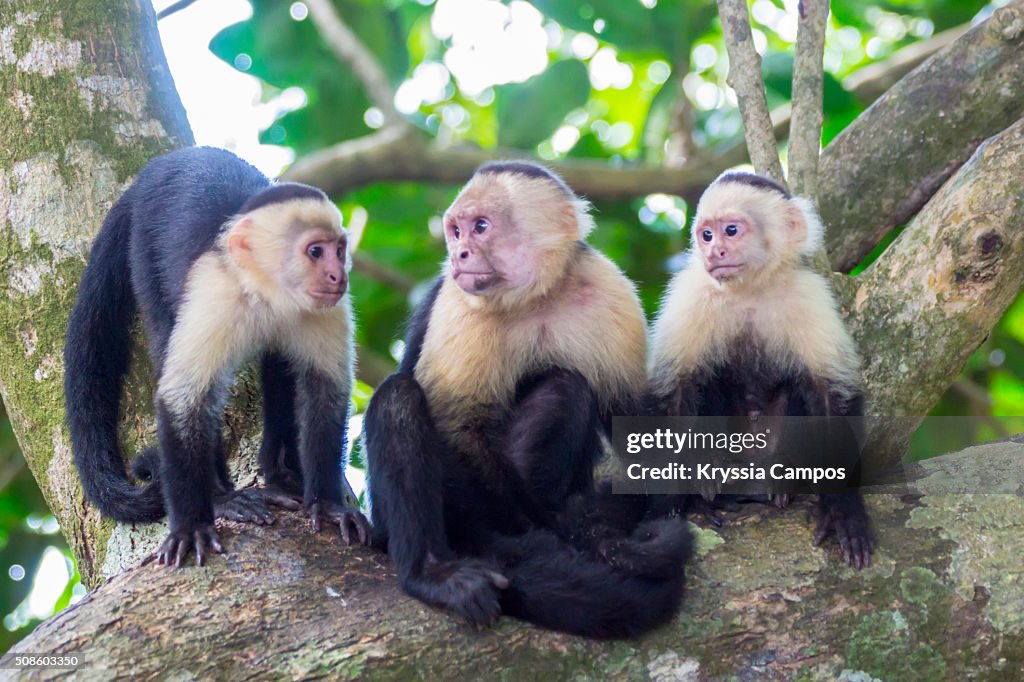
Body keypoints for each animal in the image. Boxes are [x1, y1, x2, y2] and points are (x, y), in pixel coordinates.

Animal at [64, 146, 370, 565]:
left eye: (339, 250)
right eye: (314, 252)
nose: (339, 275)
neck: (269, 292)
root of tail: (157, 168)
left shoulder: (326, 308)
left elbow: (324, 391)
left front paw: (327, 504)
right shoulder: (217, 292)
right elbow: (183, 399)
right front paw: (196, 521)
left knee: (280, 368)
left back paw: (282, 473)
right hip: (143, 243)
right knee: (165, 330)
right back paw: (228, 495)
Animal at [364, 160, 692, 638]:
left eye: (481, 227)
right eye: (455, 232)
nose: (459, 255)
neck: (533, 297)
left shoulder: (607, 288)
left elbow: (632, 416)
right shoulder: (461, 304)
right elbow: (456, 426)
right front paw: (549, 534)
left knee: (566, 387)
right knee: (399, 399)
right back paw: (433, 570)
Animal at [647, 171, 872, 569]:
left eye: (732, 230)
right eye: (706, 235)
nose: (714, 252)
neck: (749, 290)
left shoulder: (808, 294)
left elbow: (831, 395)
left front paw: (843, 509)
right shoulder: (691, 295)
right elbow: (673, 392)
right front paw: (683, 501)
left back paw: (783, 479)